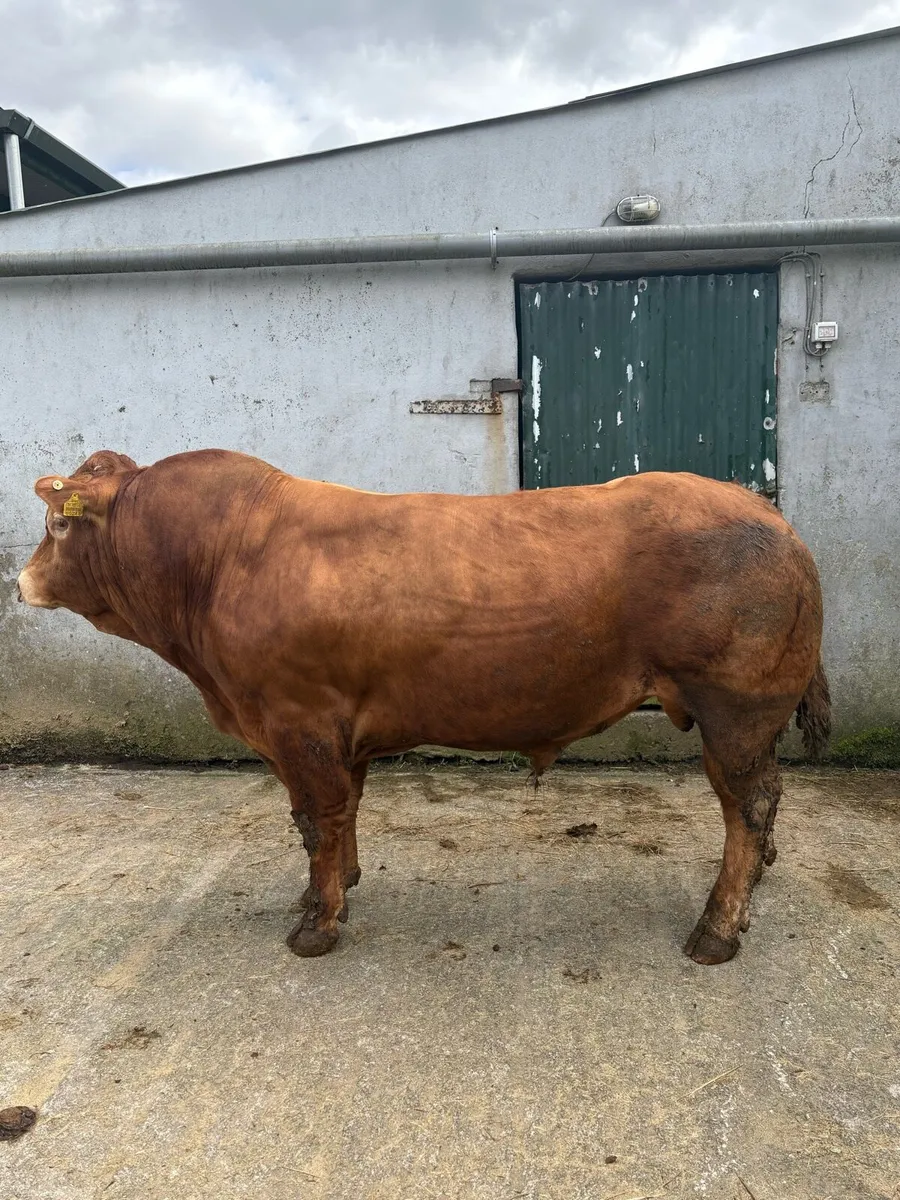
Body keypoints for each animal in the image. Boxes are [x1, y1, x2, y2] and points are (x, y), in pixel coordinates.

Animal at [17, 448, 830, 965]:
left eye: (58, 524)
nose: (20, 581)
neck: (219, 560)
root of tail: (769, 515)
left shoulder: (297, 721)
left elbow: (316, 818)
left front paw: (316, 924)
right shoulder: (335, 728)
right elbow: (340, 814)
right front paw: (337, 886)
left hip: (736, 709)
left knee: (749, 804)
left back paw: (718, 927)